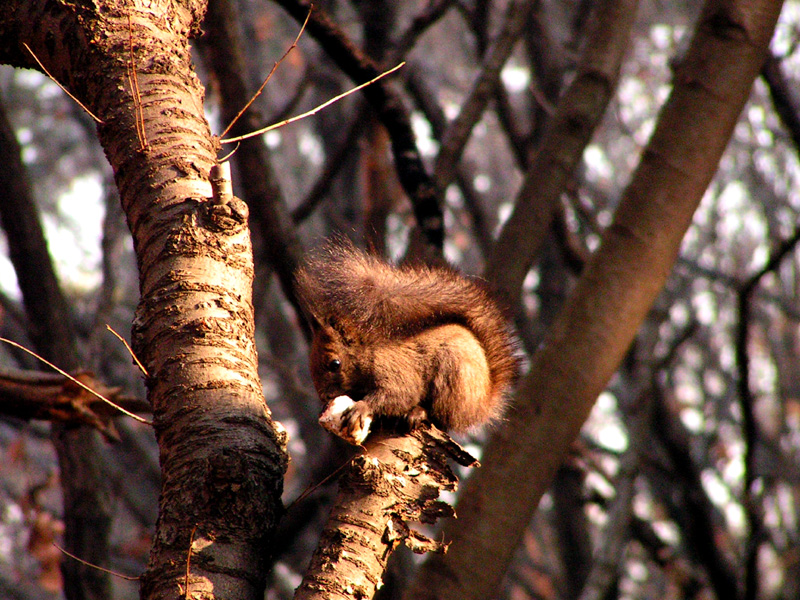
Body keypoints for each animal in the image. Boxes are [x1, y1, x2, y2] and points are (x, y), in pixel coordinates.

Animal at [294, 240, 520, 446]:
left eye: (335, 364)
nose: (325, 397)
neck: (368, 354)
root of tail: (481, 404)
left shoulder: (395, 370)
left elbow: (399, 394)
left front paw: (362, 408)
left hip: (455, 377)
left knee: (442, 416)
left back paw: (419, 412)